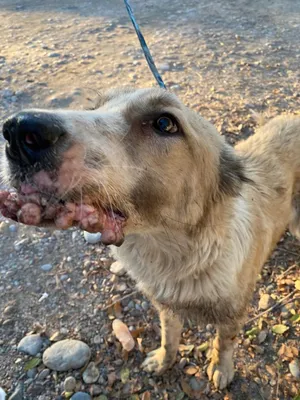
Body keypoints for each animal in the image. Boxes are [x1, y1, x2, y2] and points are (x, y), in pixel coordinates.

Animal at [0, 86, 300, 388]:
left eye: (164, 123)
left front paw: (221, 367)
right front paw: (164, 361)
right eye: (94, 108)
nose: (18, 129)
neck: (178, 256)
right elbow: (169, 338)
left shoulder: (233, 314)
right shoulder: (166, 307)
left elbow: (224, 343)